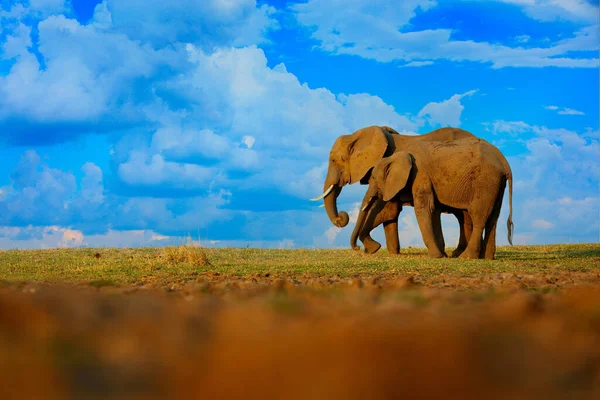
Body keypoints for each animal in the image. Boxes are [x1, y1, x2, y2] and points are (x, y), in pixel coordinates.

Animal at [312, 126, 476, 255]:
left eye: (334, 160)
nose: (341, 217)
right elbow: (389, 212)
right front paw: (392, 253)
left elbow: (385, 210)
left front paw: (373, 248)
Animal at [350, 138, 512, 260]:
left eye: (373, 178)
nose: (358, 248)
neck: (399, 155)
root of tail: (504, 162)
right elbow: (391, 212)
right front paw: (442, 255)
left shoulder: (420, 175)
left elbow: (423, 209)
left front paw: (435, 256)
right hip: (496, 184)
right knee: (492, 218)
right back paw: (487, 257)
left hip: (485, 182)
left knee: (478, 215)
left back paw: (467, 257)